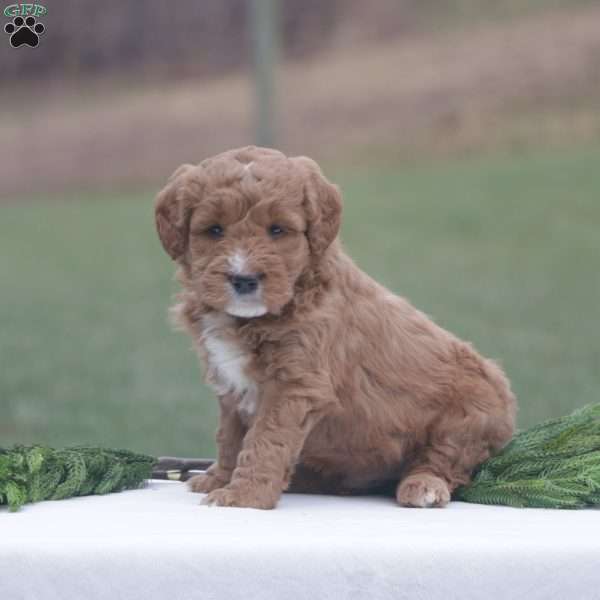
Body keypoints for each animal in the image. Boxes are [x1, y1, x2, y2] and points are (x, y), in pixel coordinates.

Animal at [155, 145, 516, 506]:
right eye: (214, 230)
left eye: (277, 230)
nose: (244, 279)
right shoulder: (230, 384)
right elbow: (230, 436)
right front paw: (219, 478)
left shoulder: (296, 384)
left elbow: (265, 440)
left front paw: (243, 495)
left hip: (469, 415)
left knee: (446, 459)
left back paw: (424, 485)